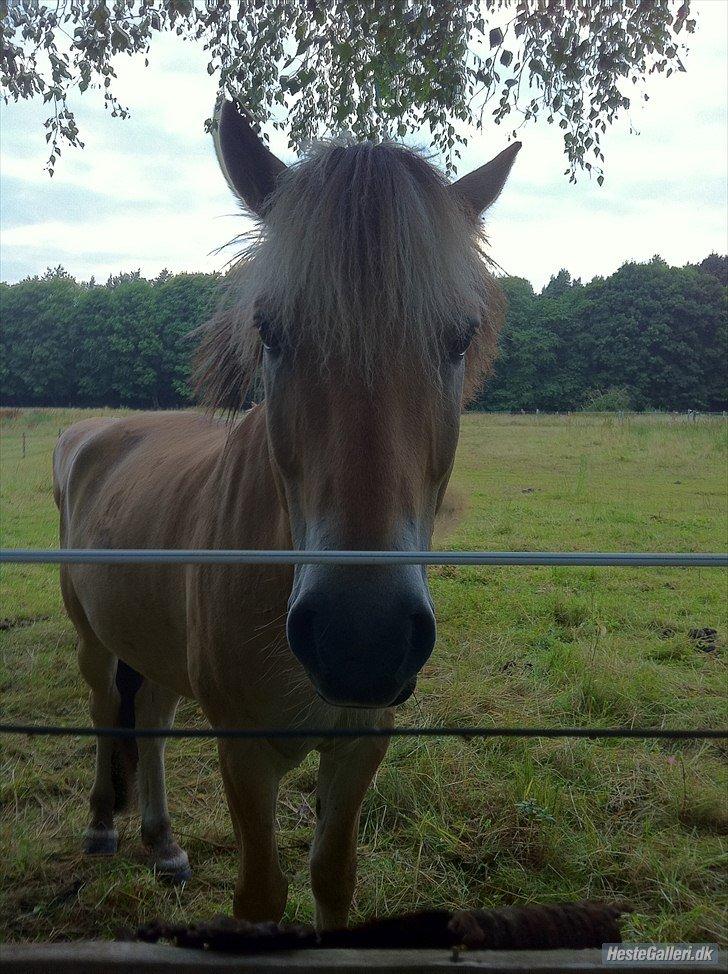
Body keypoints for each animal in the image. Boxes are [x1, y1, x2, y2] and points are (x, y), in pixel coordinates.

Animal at [52, 101, 519, 928]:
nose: (360, 638)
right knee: (109, 707)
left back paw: (164, 844)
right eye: (270, 331)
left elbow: (333, 877)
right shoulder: (244, 750)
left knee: (154, 717)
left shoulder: (362, 742)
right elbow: (262, 895)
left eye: (461, 337)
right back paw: (104, 826)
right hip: (92, 639)